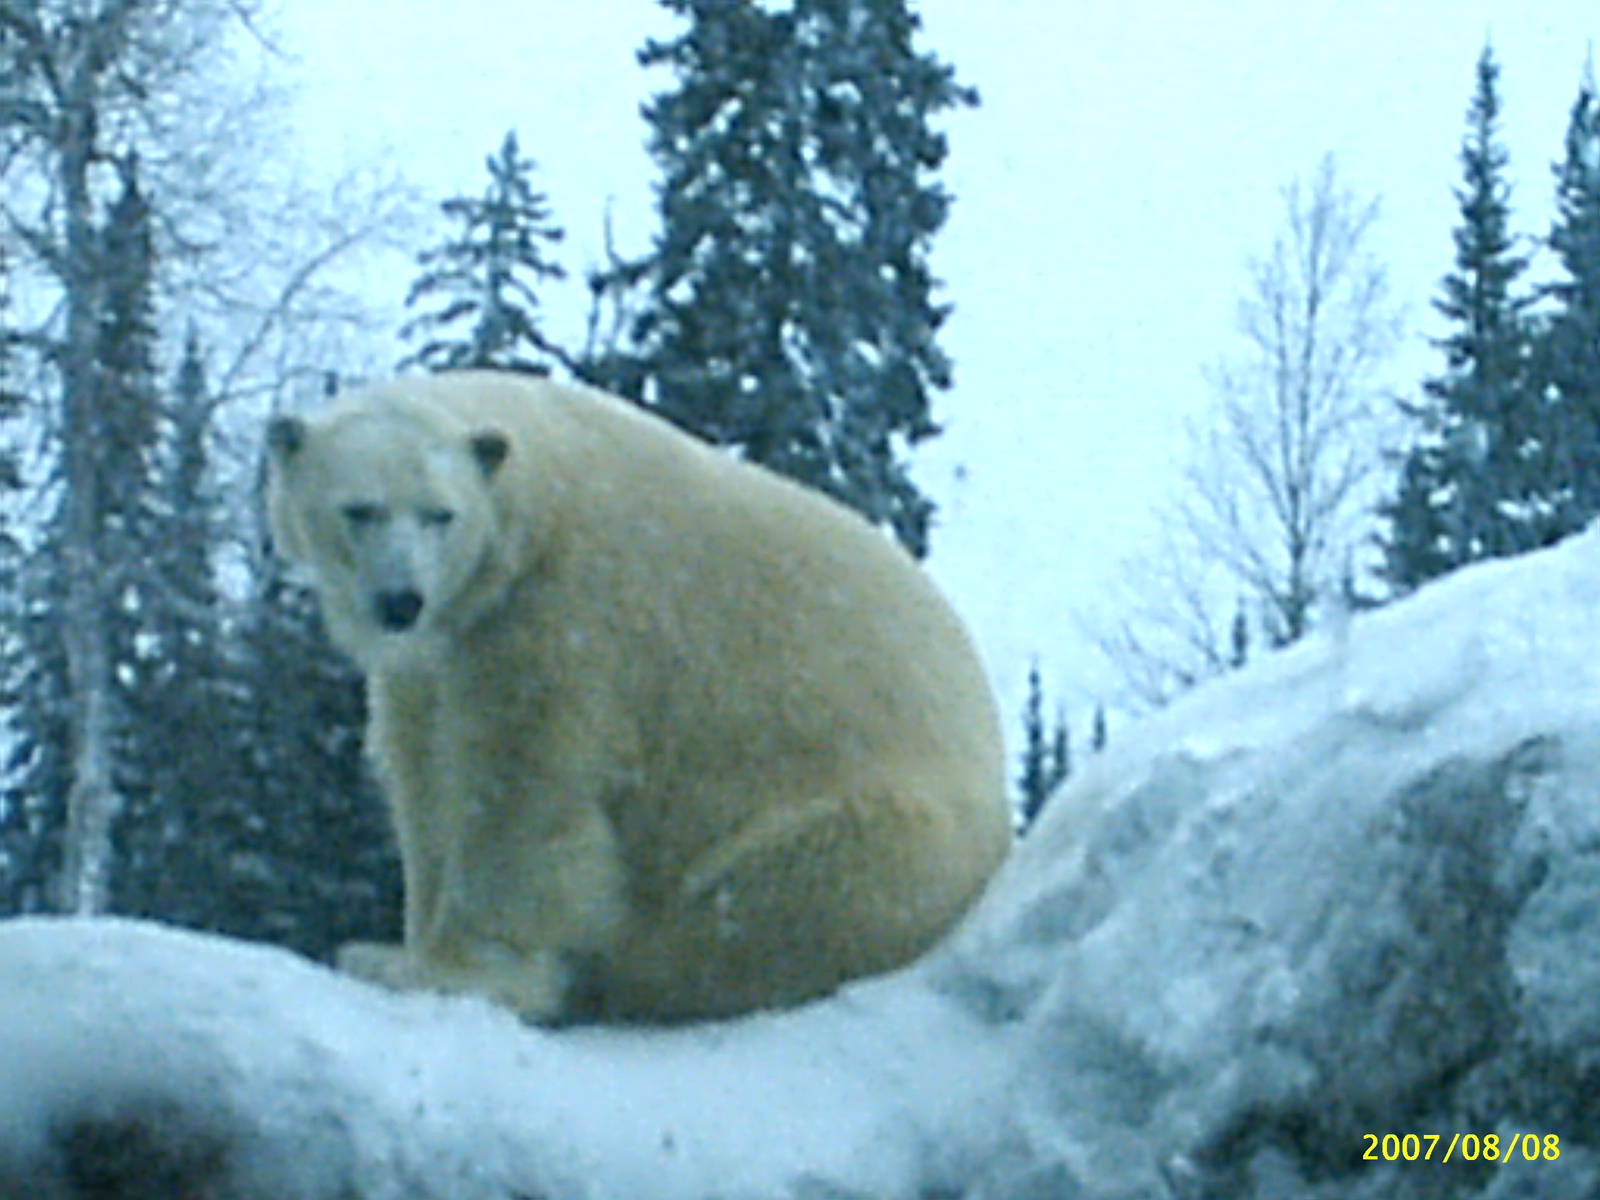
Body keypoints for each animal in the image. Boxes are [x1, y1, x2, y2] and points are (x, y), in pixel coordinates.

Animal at [264, 369, 1009, 1023]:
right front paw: (402, 942)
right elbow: (424, 776)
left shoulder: (568, 617)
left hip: (878, 825)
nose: (400, 600)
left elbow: (521, 788)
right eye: (358, 509)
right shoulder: (441, 653)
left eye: (439, 515)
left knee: (775, 895)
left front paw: (438, 970)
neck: (539, 508)